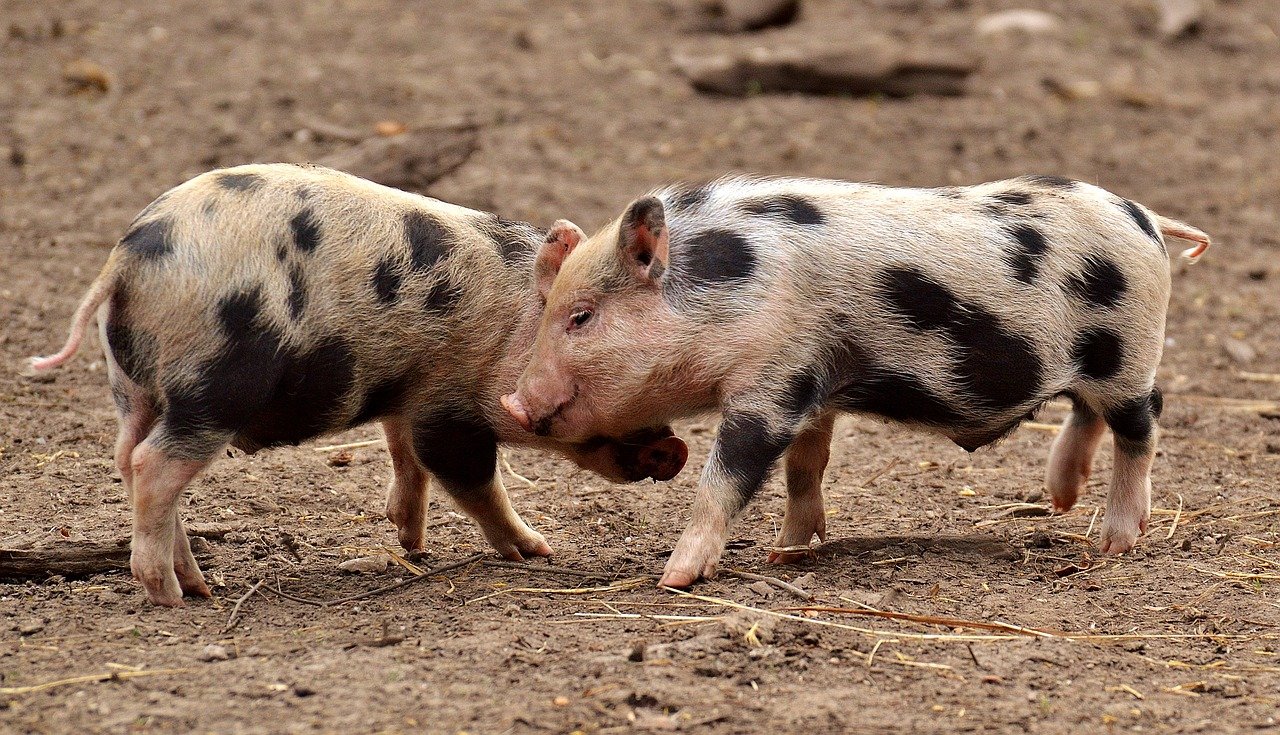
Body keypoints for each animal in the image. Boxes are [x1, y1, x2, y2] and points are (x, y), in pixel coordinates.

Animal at [29, 163, 687, 606]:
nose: (674, 449)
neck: (510, 326)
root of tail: (127, 260)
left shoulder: (410, 392)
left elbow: (405, 456)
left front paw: (412, 543)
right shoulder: (449, 404)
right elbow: (468, 477)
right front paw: (539, 551)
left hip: (133, 386)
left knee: (129, 458)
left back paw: (198, 585)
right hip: (214, 386)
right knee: (154, 465)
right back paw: (173, 596)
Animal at [501, 175, 1211, 587]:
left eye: (581, 316)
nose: (513, 401)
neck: (731, 290)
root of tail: (1147, 217)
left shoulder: (769, 383)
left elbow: (726, 477)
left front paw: (674, 579)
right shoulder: (812, 385)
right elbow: (804, 466)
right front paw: (786, 552)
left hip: (1128, 353)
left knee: (1143, 423)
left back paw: (1113, 544)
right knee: (1087, 413)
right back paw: (1061, 497)